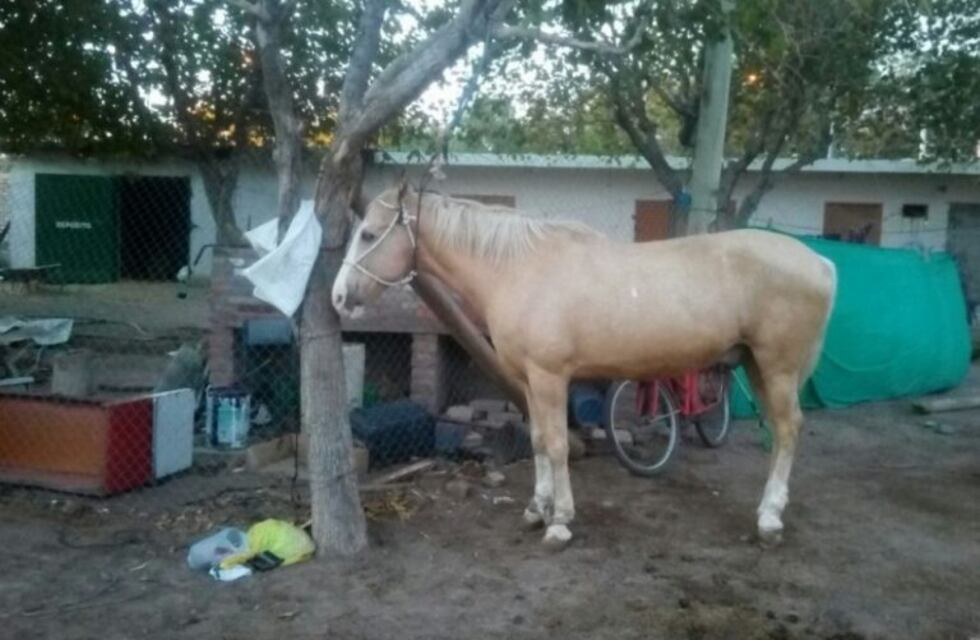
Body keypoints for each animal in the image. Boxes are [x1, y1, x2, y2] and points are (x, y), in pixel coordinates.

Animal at [332, 182, 837, 548]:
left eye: (369, 234)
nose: (338, 296)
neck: (518, 269)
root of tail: (820, 261)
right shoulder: (528, 380)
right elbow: (537, 441)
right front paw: (536, 509)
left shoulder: (550, 377)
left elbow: (557, 445)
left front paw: (560, 522)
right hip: (757, 365)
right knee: (781, 431)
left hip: (777, 367)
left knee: (788, 430)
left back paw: (769, 519)